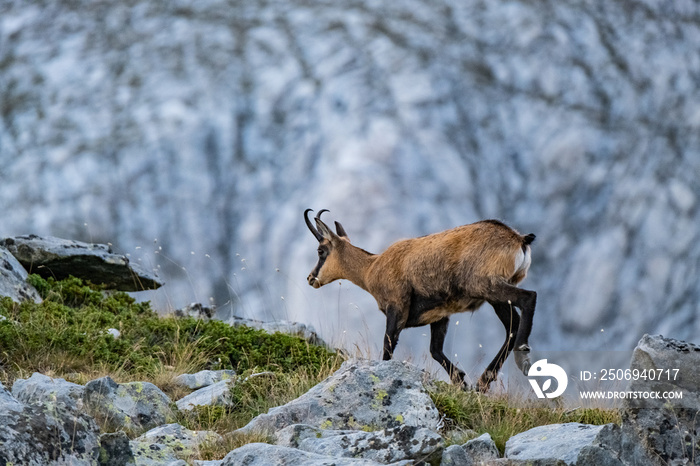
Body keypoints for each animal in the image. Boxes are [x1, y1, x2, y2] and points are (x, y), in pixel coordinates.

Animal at [304, 209, 540, 392]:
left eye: (321, 251)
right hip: (495, 296)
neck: (372, 268)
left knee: (528, 298)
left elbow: (388, 349)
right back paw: (483, 382)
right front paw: (461, 381)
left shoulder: (397, 308)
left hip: (487, 285)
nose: (310, 278)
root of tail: (519, 240)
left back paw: (522, 354)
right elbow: (435, 350)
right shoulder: (441, 315)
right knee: (511, 326)